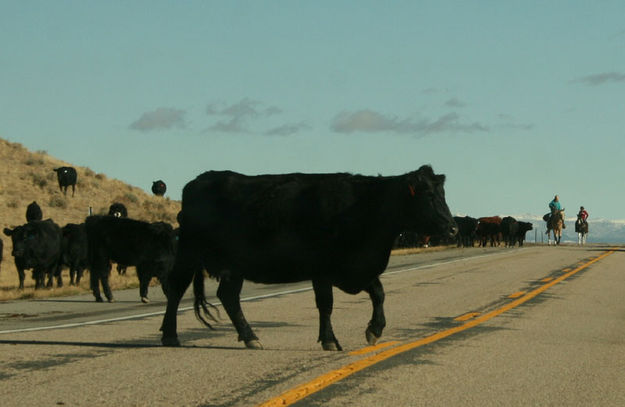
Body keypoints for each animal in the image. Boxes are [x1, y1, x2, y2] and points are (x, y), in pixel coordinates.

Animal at [158, 166, 456, 350]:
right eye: (429, 195)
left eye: (442, 193)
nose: (453, 228)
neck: (363, 207)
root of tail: (198, 181)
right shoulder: (322, 270)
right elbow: (326, 305)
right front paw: (330, 340)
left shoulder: (358, 268)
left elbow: (379, 294)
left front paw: (375, 330)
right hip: (189, 253)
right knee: (177, 288)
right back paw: (170, 335)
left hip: (235, 267)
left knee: (228, 297)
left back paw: (250, 337)